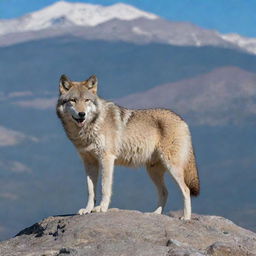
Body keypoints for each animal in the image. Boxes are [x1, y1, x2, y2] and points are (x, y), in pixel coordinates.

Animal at [56, 74, 200, 220]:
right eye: (73, 100)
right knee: (165, 192)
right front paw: (87, 209)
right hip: (153, 171)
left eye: (86, 100)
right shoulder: (89, 162)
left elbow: (104, 187)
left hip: (172, 167)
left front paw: (102, 208)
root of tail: (182, 120)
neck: (88, 128)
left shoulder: (107, 159)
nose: (82, 114)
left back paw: (186, 217)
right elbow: (90, 190)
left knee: (186, 190)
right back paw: (155, 214)